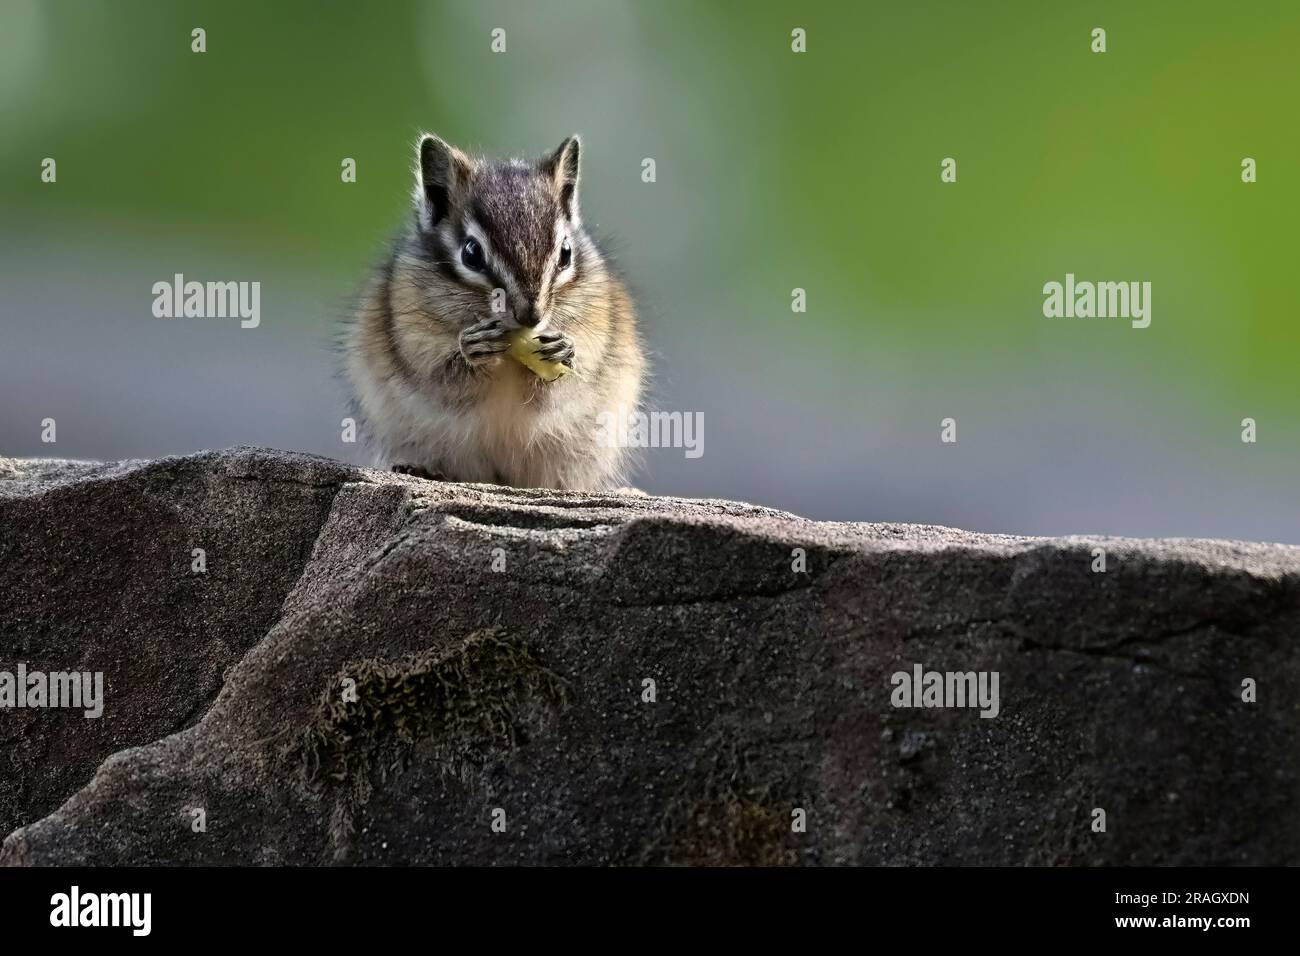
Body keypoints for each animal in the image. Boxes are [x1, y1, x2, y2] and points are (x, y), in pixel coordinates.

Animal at [342, 133, 645, 490]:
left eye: (566, 253)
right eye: (471, 253)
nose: (531, 316)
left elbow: (562, 388)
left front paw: (563, 350)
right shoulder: (412, 343)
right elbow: (444, 379)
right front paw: (472, 349)